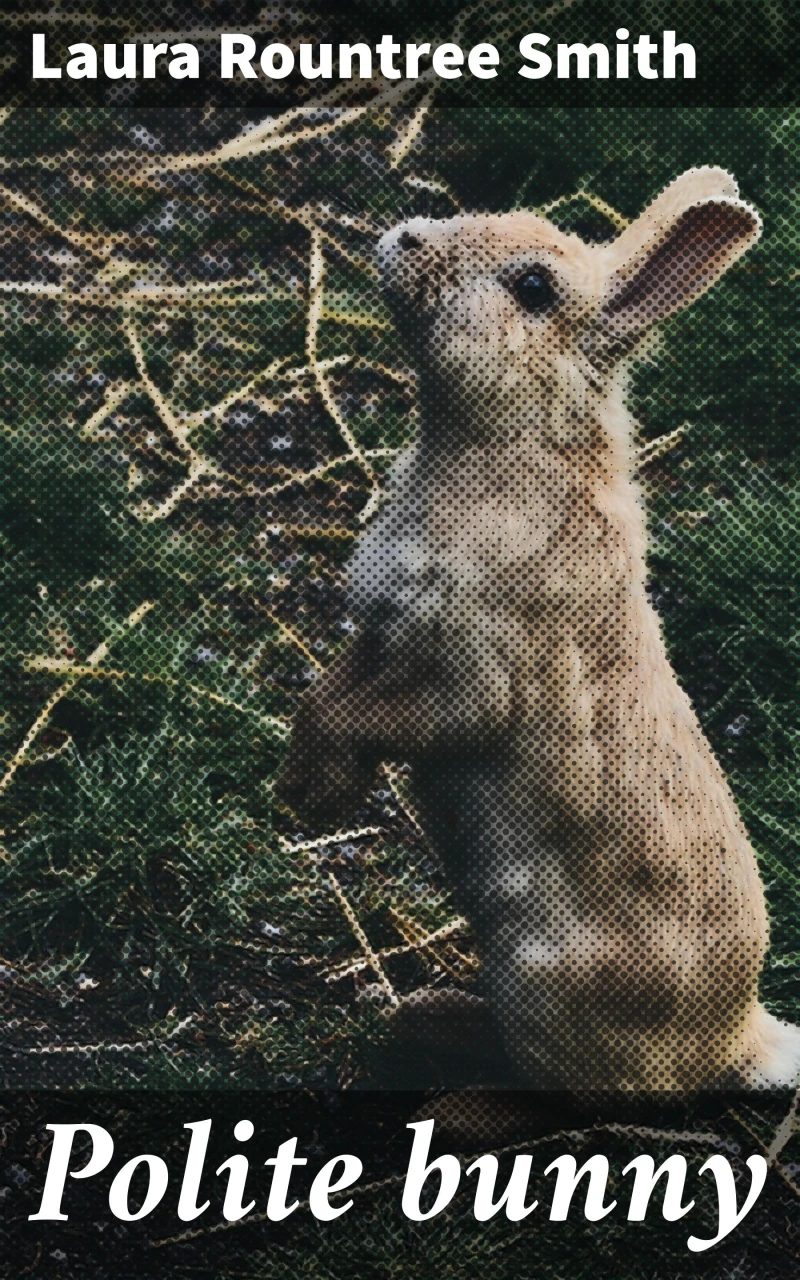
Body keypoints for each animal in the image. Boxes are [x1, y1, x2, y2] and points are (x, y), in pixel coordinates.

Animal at [276, 167, 800, 1095]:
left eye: (532, 288)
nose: (407, 238)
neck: (507, 446)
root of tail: (735, 1041)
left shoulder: (474, 680)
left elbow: (377, 717)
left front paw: (321, 795)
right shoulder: (381, 636)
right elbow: (326, 698)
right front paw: (303, 788)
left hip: (544, 988)